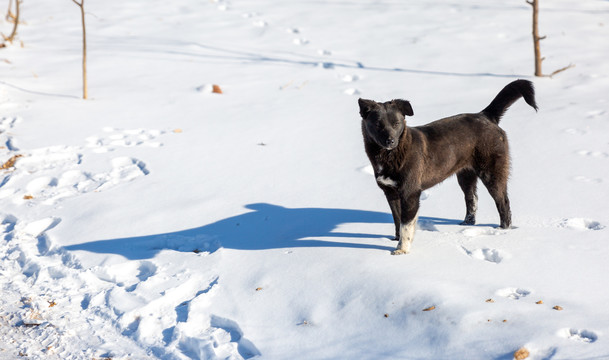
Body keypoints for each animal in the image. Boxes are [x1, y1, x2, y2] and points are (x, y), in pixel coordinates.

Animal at [356, 80, 536, 255]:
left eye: (396, 123)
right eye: (378, 124)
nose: (391, 141)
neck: (389, 156)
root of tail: (486, 115)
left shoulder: (410, 193)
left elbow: (406, 225)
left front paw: (402, 249)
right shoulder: (391, 193)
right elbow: (397, 219)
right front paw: (395, 240)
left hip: (492, 173)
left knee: (503, 203)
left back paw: (503, 230)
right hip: (465, 175)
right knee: (472, 198)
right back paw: (467, 224)